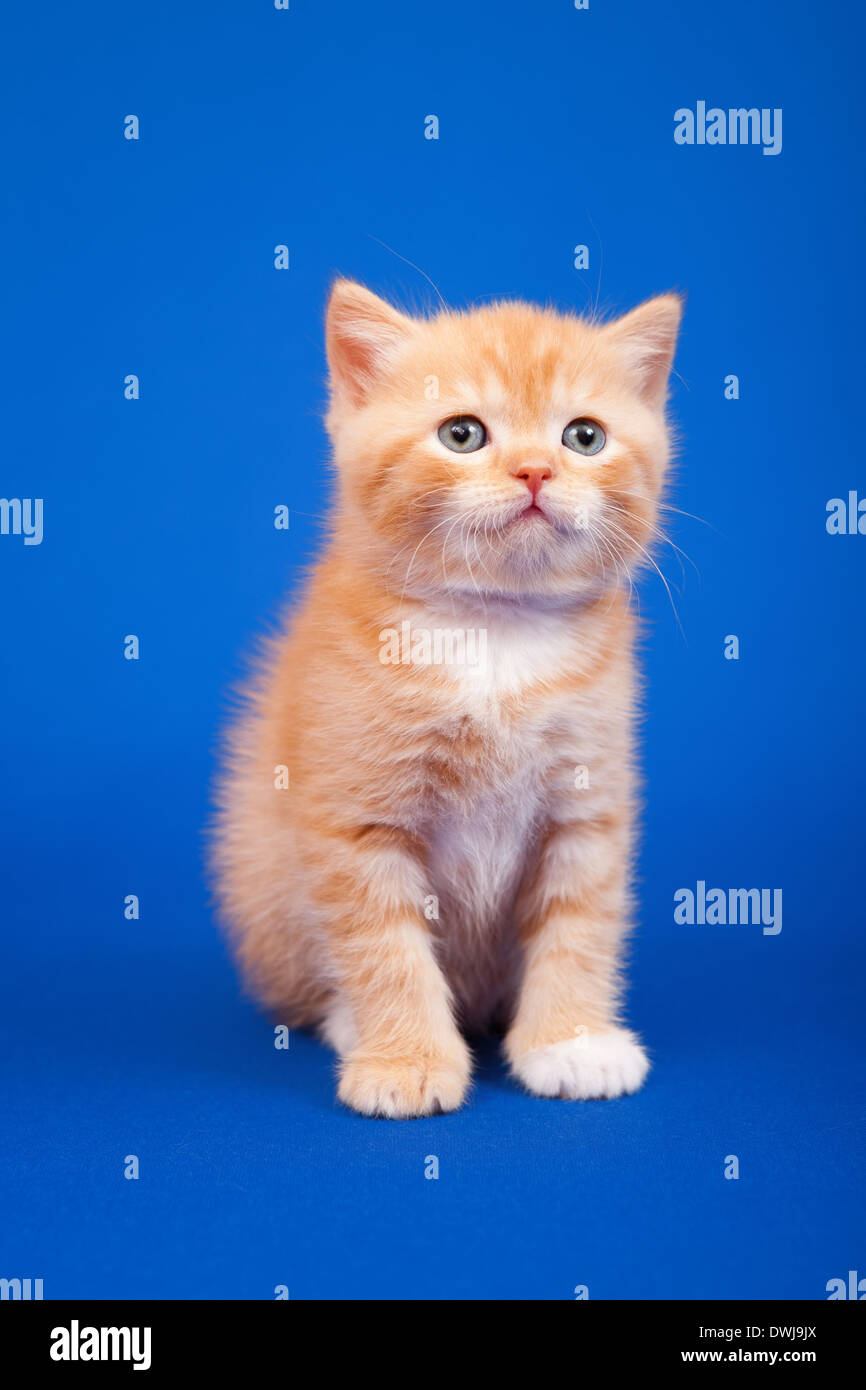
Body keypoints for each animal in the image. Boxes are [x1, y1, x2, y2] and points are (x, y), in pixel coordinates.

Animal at [211, 279, 683, 1117]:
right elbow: (383, 942)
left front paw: (571, 1042)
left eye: (584, 437)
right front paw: (406, 1060)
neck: (494, 630)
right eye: (462, 435)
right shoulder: (356, 813)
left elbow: (581, 921)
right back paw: (350, 1023)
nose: (535, 471)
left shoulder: (587, 802)